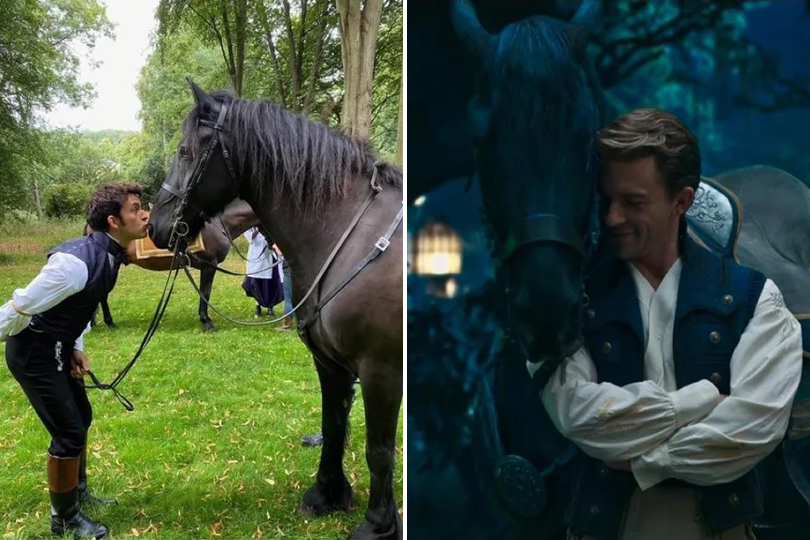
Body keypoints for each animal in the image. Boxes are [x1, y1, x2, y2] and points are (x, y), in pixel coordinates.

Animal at [84, 198, 259, 332]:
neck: (218, 223)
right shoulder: (209, 265)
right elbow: (205, 292)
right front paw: (206, 322)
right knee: (102, 295)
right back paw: (109, 323)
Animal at [146, 82, 403, 540]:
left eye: (185, 151)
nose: (155, 225)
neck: (352, 236)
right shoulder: (330, 363)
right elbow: (333, 426)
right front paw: (327, 495)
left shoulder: (381, 370)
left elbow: (379, 450)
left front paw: (378, 524)